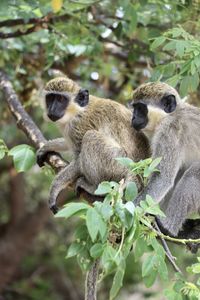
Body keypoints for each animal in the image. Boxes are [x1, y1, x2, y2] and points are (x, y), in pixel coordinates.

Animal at [37, 77, 150, 213]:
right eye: (50, 98)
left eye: (60, 99)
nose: (52, 109)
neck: (78, 110)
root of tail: (138, 174)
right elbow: (69, 144)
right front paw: (47, 146)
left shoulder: (78, 125)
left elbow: (78, 160)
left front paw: (55, 188)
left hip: (119, 163)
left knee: (90, 137)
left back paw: (95, 188)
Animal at [132, 80, 200, 251]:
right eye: (134, 107)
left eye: (140, 108)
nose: (133, 117)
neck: (170, 115)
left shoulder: (170, 132)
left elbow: (163, 178)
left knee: (192, 175)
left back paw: (169, 229)